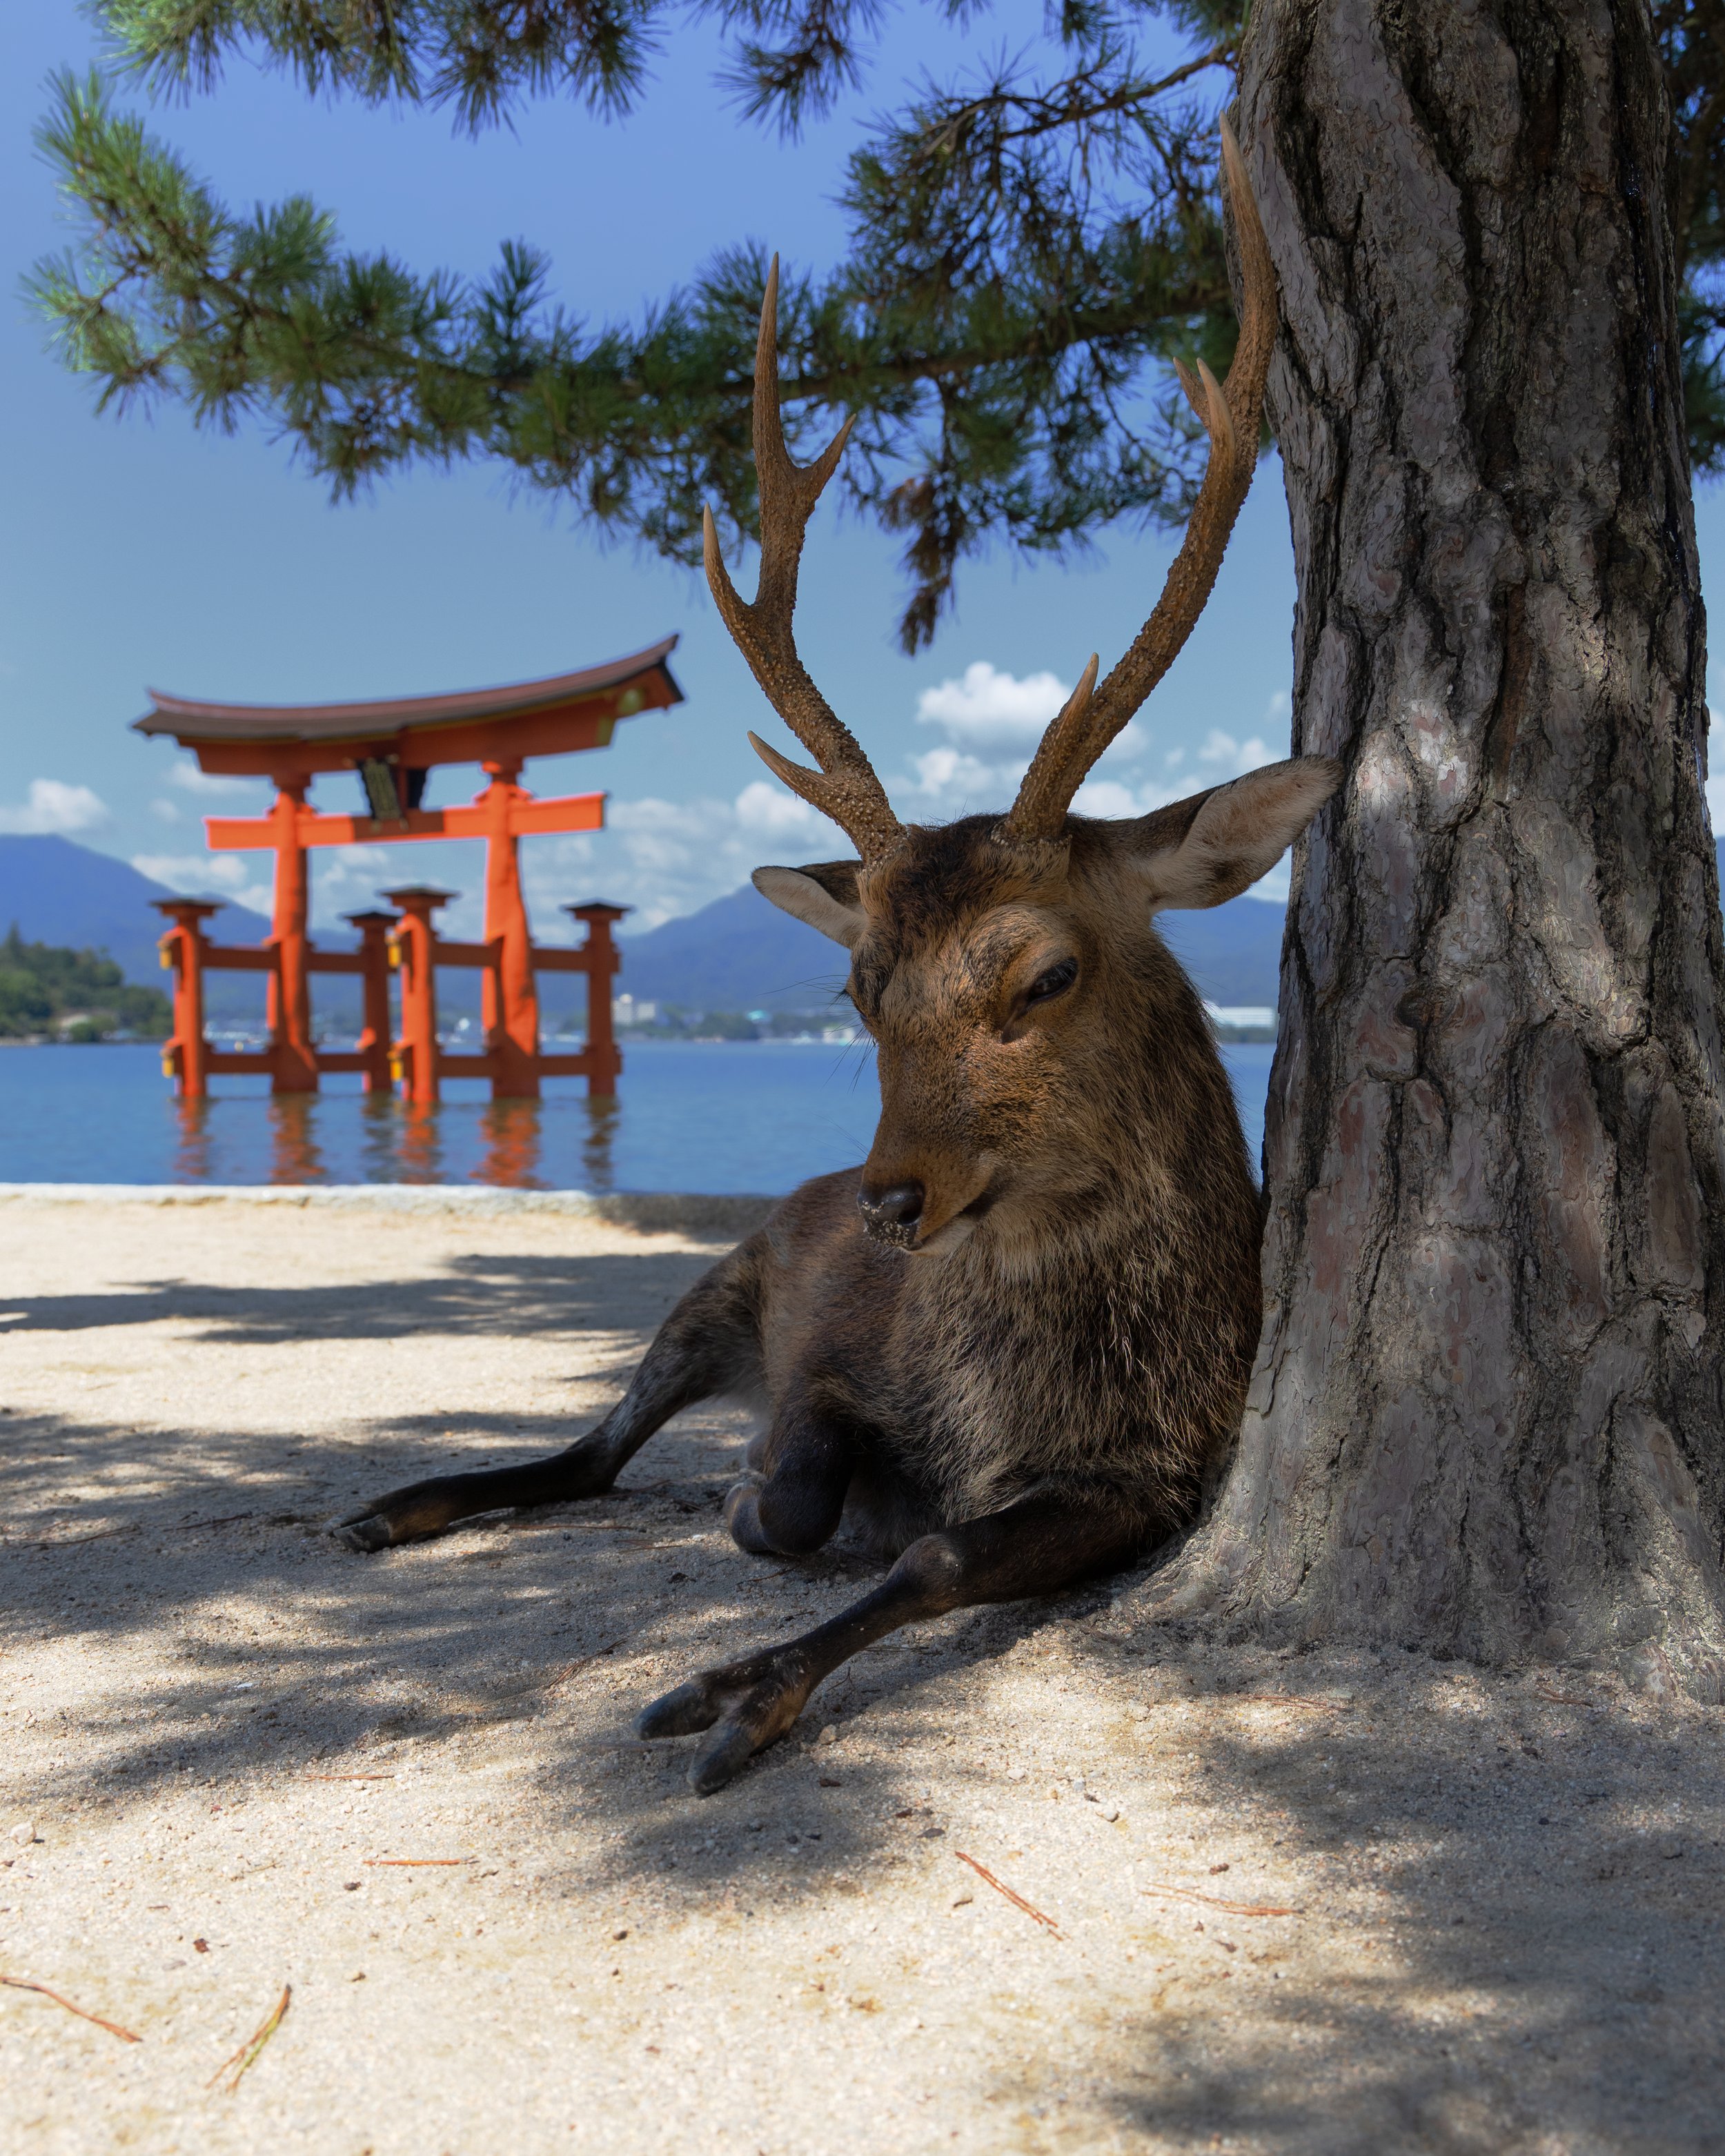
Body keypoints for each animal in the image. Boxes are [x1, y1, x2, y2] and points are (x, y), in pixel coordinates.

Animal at [334, 126, 1340, 1794]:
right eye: (860, 987)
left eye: (1044, 974)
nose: (887, 1200)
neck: (1009, 1397)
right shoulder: (819, 1355)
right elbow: (799, 1488)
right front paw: (760, 1504)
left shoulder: (1156, 1469)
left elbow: (935, 1556)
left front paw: (742, 1687)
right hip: (715, 1279)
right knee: (591, 1447)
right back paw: (395, 1501)